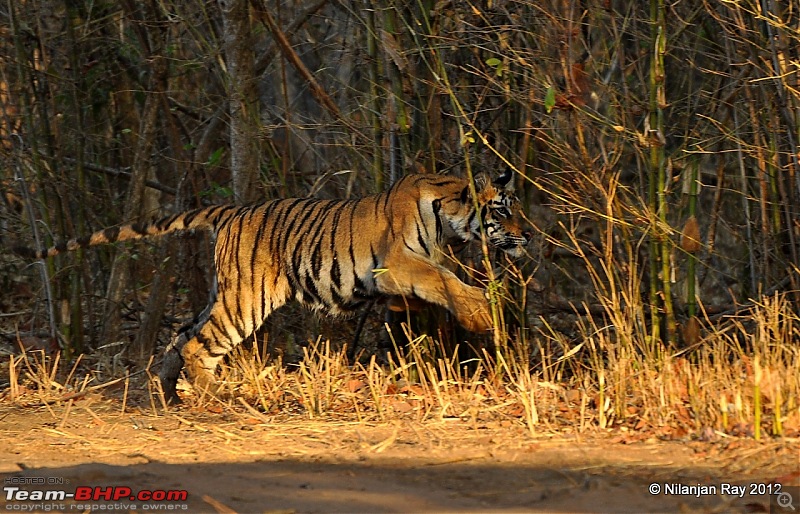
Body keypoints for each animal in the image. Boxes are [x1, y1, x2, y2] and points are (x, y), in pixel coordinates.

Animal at [15, 169, 532, 400]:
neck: (449, 219)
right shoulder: (399, 263)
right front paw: (482, 311)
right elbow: (444, 278)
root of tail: (231, 211)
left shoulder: (403, 283)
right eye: (504, 209)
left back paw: (168, 392)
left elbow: (432, 294)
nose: (528, 235)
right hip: (245, 300)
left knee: (181, 335)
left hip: (225, 294)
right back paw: (216, 398)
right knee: (198, 344)